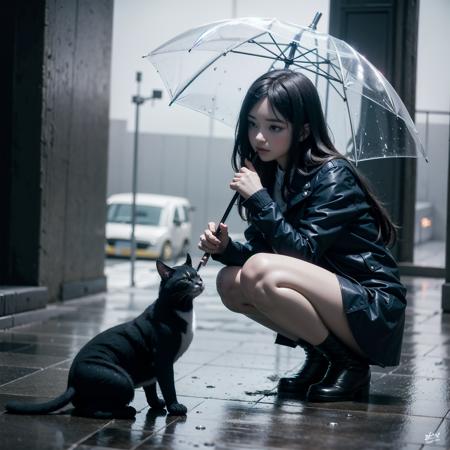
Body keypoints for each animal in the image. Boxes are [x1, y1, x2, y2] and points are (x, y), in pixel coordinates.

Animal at [5, 253, 204, 418]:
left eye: (198, 275)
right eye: (186, 279)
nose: (200, 282)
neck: (178, 307)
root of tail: (71, 384)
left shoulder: (152, 369)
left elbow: (151, 389)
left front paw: (156, 404)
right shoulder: (163, 361)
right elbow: (168, 387)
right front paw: (175, 407)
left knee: (83, 407)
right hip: (123, 381)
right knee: (93, 410)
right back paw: (124, 412)